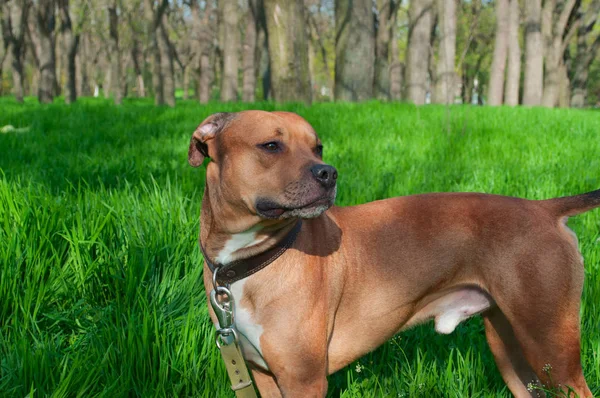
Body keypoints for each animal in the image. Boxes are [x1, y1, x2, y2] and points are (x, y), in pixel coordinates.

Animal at [190, 110, 596, 396]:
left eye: (318, 147)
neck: (250, 260)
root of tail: (544, 209)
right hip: (514, 356)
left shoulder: (304, 381)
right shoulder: (263, 374)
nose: (328, 173)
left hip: (552, 350)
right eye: (270, 146)